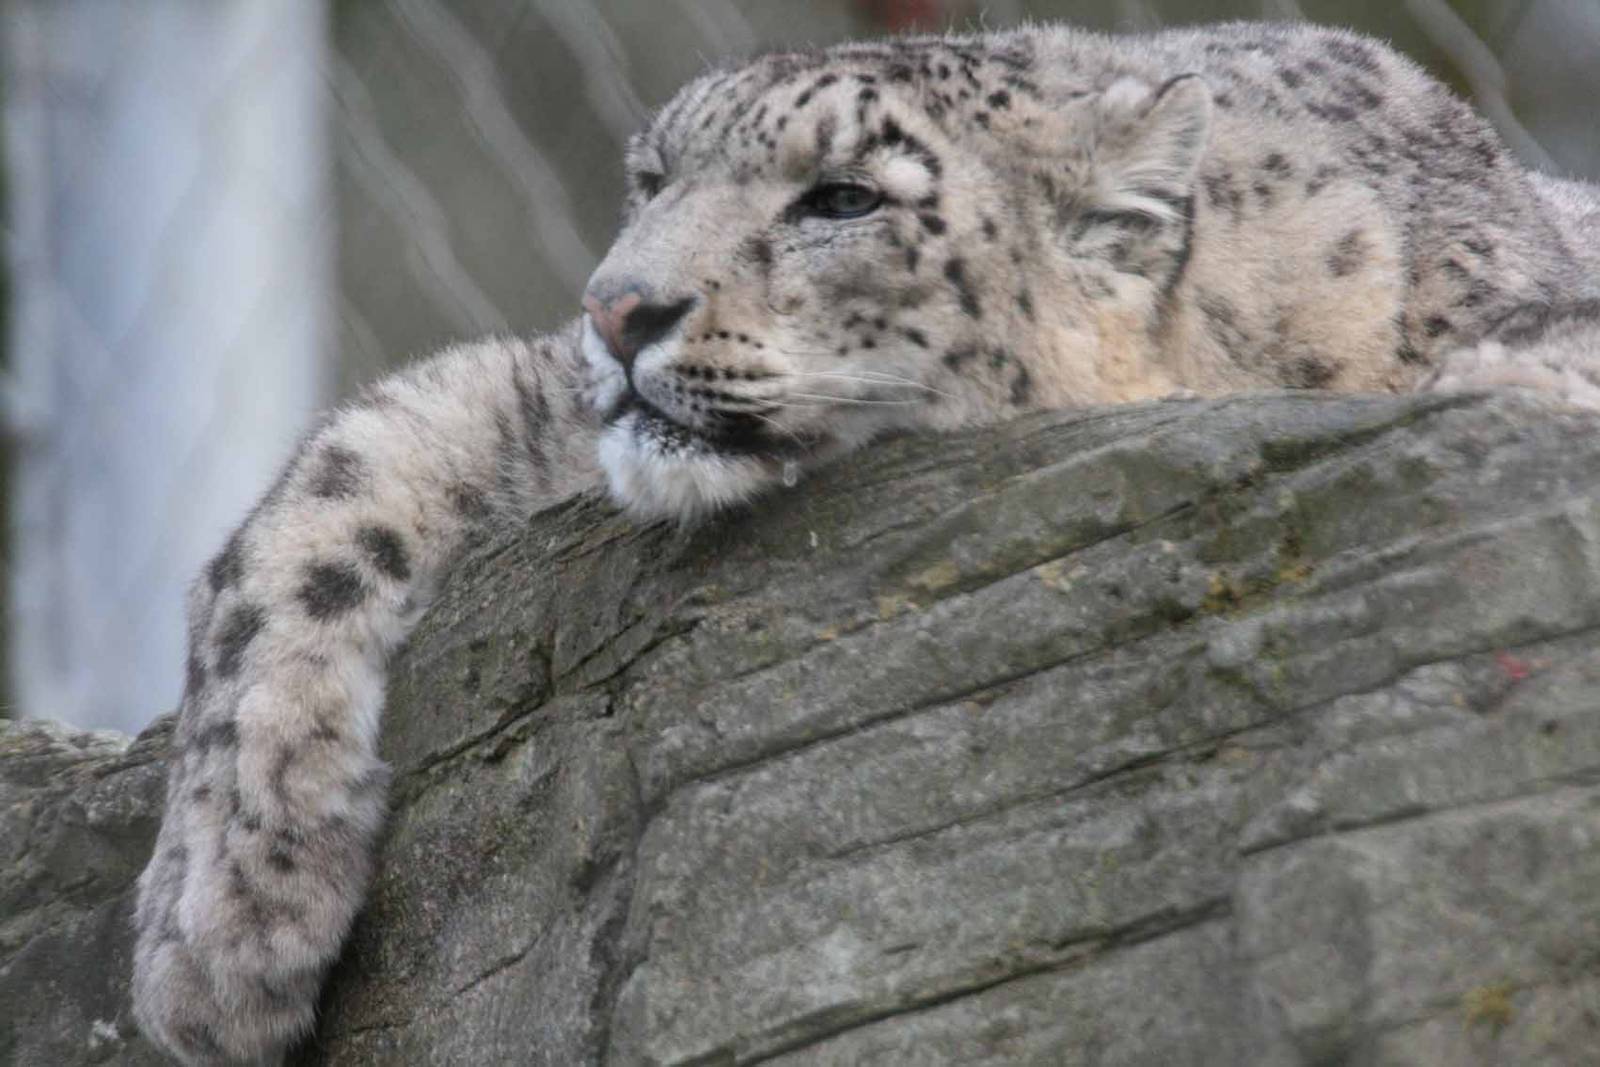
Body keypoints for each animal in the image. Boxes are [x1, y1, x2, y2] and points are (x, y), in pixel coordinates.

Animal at [131, 19, 1599, 1064]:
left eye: (841, 199)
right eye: (650, 179)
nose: (618, 310)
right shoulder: (527, 399)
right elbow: (331, 477)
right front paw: (219, 931)